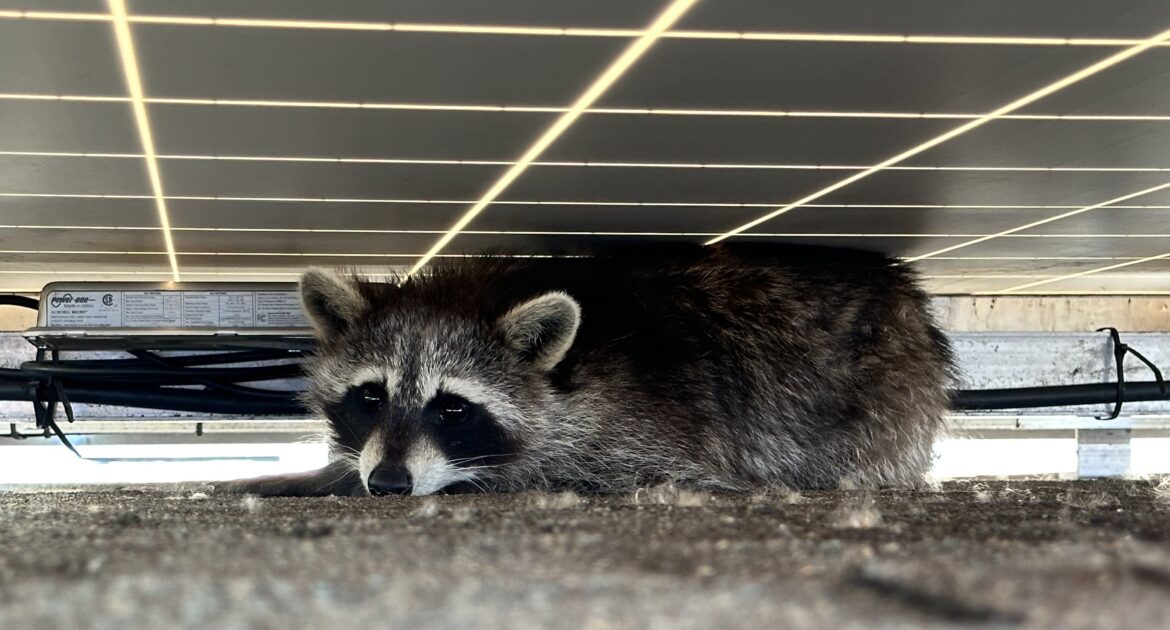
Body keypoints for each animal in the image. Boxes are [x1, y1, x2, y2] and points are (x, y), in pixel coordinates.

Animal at [223, 243, 954, 494]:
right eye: (370, 397)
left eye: (452, 408)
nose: (391, 483)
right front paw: (323, 474)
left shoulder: (640, 432)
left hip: (886, 403)